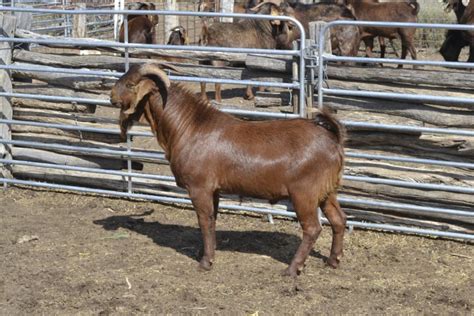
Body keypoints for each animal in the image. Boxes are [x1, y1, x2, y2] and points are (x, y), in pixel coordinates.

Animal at [111, 63, 348, 276]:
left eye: (130, 84)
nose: (111, 96)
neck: (189, 127)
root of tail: (333, 138)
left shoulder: (199, 187)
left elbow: (205, 220)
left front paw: (205, 262)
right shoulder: (214, 190)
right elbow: (212, 220)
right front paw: (206, 252)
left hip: (304, 192)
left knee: (312, 228)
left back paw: (292, 269)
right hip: (326, 191)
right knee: (339, 220)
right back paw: (333, 261)